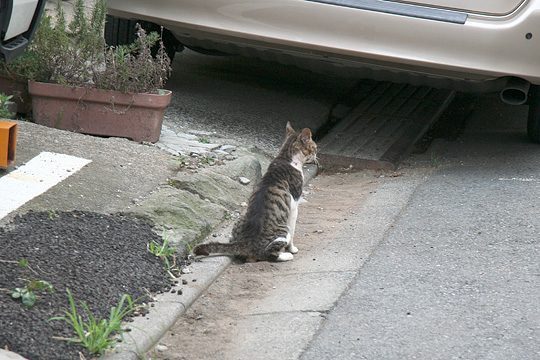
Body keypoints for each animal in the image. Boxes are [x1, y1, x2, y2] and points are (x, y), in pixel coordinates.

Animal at [194, 121, 318, 262]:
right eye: (314, 147)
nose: (317, 154)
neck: (286, 158)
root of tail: (245, 243)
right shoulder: (294, 207)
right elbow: (292, 232)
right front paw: (292, 249)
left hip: (239, 220)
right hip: (282, 230)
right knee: (268, 253)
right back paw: (286, 255)